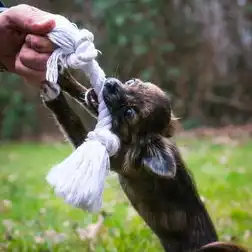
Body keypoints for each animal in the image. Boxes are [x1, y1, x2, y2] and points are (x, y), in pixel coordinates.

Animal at [43, 72, 248, 251]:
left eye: (129, 113)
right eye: (131, 82)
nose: (110, 84)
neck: (134, 142)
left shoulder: (111, 155)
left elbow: (71, 120)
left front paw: (54, 97)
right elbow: (84, 94)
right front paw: (65, 78)